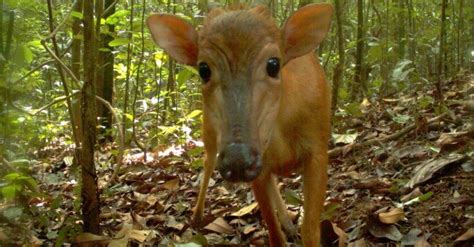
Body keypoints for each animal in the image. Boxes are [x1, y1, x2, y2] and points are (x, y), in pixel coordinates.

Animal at [148, 3, 334, 245]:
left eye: (274, 64)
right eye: (203, 69)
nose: (237, 159)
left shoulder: (318, 148)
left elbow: (310, 228)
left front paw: (296, 228)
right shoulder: (259, 166)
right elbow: (273, 233)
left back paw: (288, 223)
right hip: (209, 134)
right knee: (208, 163)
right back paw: (197, 215)